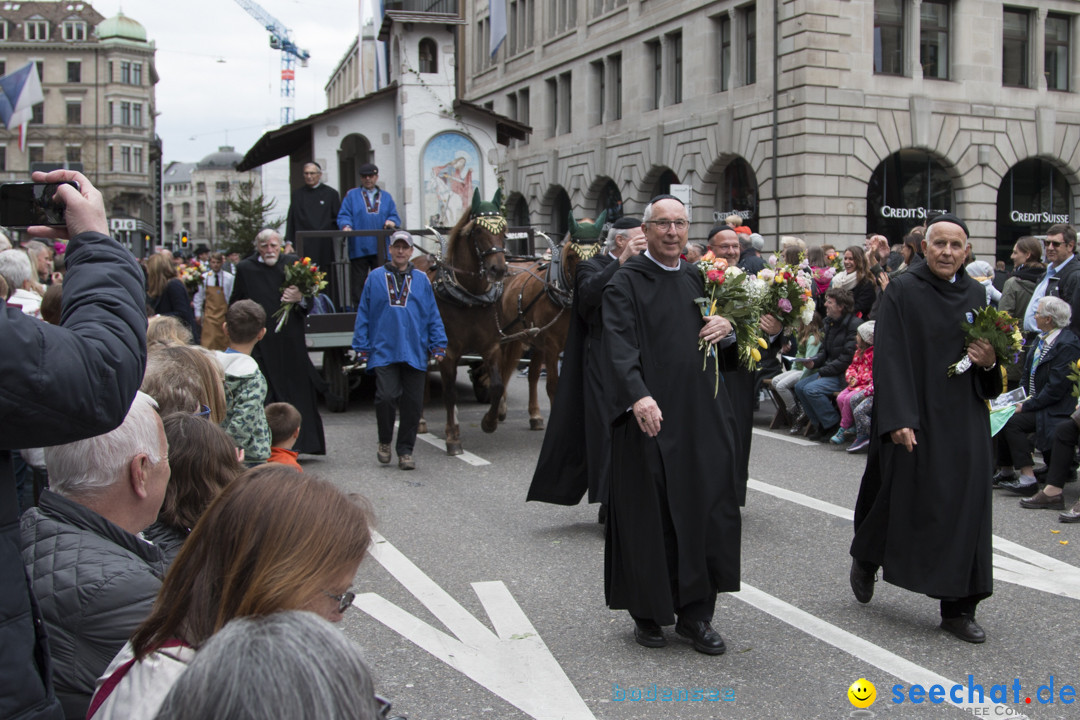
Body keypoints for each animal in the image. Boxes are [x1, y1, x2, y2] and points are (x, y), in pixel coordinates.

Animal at [427, 188, 507, 453]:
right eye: (479, 230)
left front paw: (489, 422)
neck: (470, 295)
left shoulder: (491, 347)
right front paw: (452, 437)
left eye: (504, 229)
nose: (498, 270)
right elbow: (449, 393)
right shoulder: (448, 351)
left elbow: (497, 386)